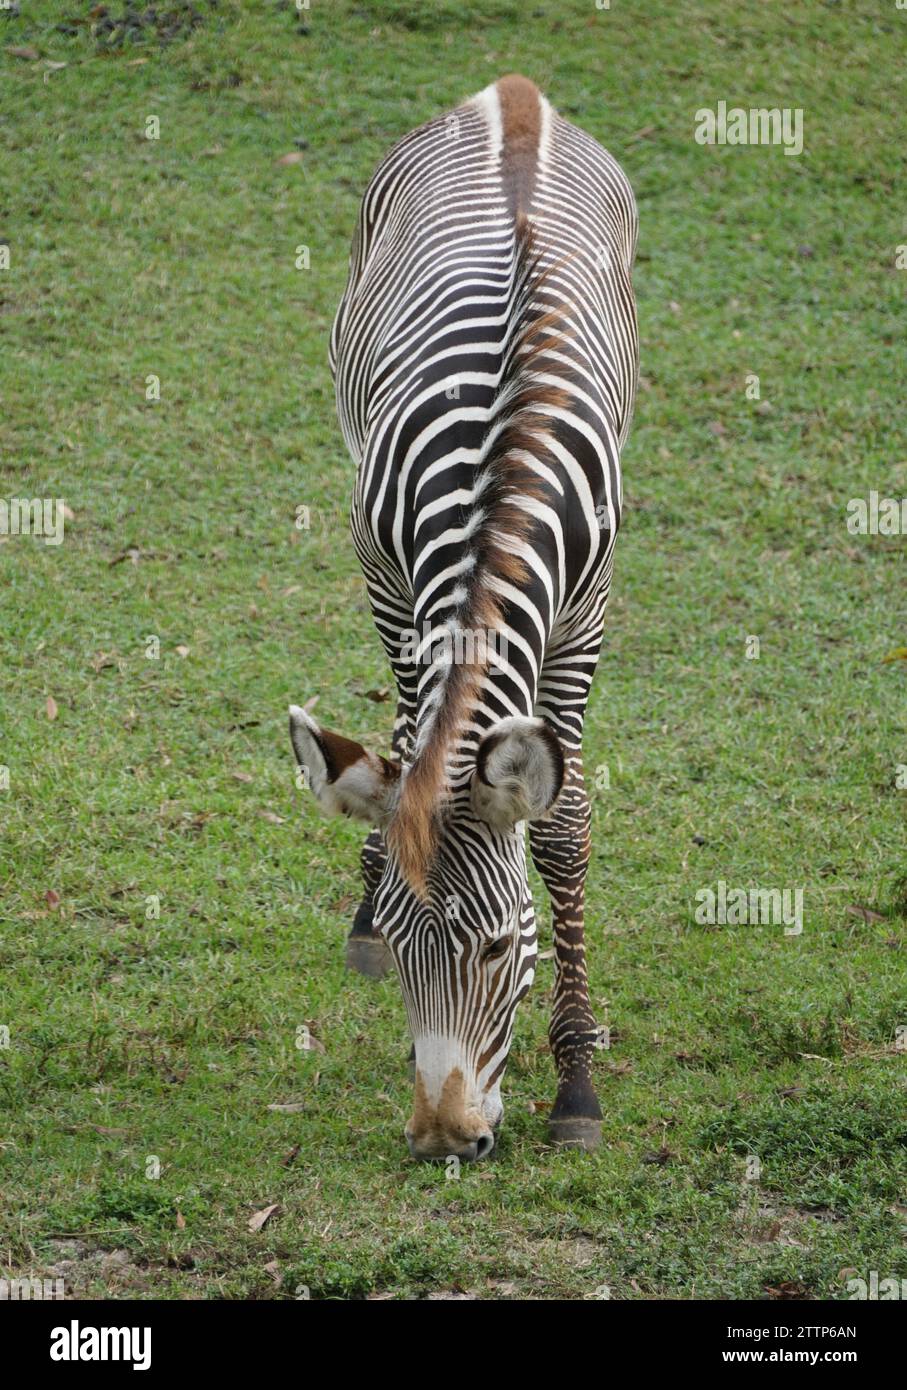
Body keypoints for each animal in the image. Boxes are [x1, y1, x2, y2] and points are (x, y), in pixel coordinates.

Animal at [290, 74, 638, 1161]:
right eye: (410, 950)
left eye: (493, 946)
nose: (445, 1139)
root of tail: (513, 94)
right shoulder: (387, 577)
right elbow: (407, 739)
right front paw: (370, 897)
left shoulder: (582, 615)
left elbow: (562, 828)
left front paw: (576, 1083)